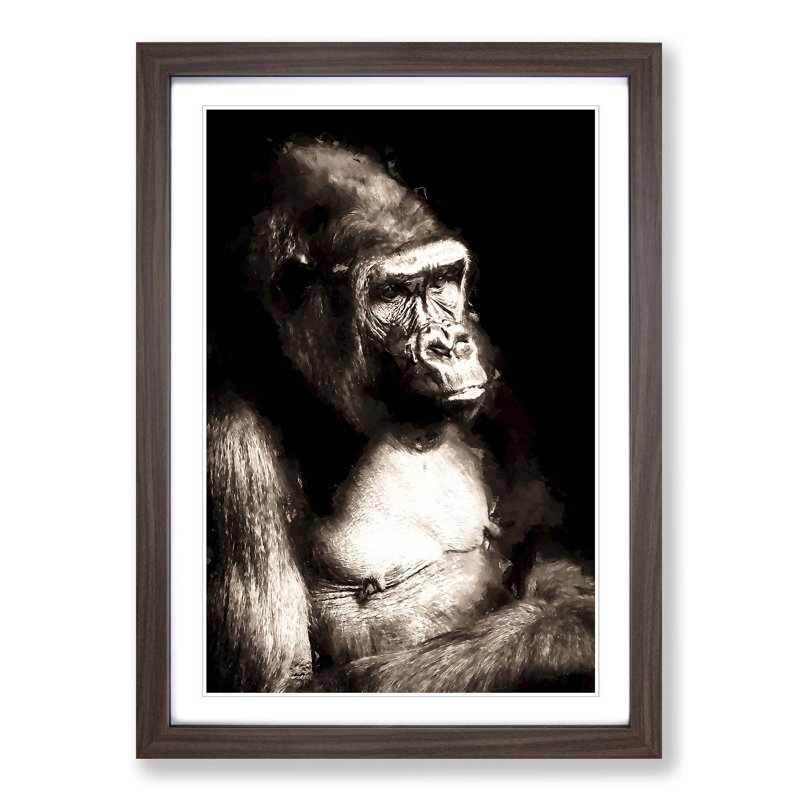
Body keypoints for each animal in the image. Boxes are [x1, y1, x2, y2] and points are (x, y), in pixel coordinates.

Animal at [207, 137, 594, 693]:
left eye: (442, 281)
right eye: (391, 293)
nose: (450, 343)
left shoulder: (488, 354)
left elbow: (555, 563)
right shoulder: (229, 441)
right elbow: (287, 680)